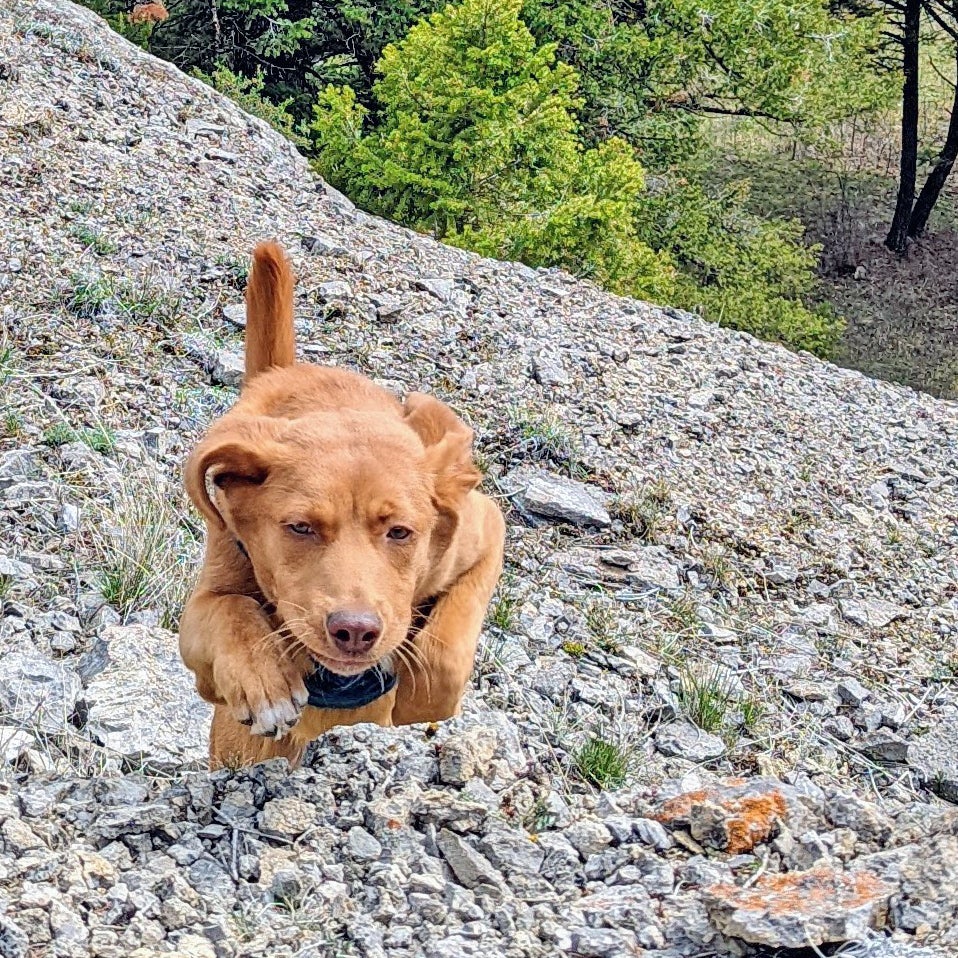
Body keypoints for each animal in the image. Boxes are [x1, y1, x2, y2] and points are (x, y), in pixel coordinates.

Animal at [182, 244, 510, 768]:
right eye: (300, 527)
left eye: (400, 532)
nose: (355, 631)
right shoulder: (200, 630)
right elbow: (230, 610)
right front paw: (265, 682)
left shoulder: (483, 528)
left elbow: (446, 650)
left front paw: (420, 699)